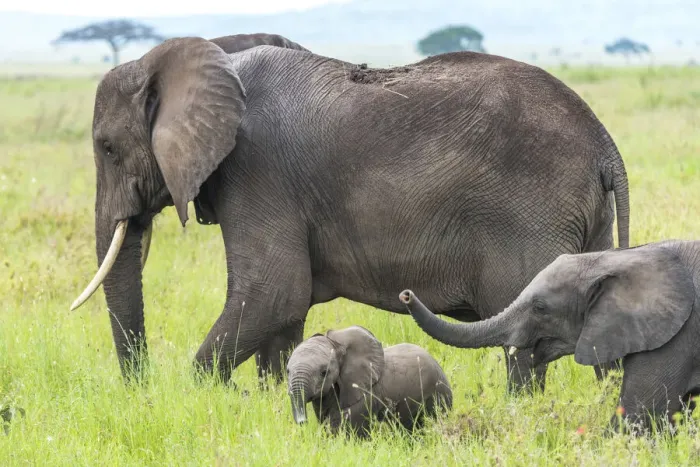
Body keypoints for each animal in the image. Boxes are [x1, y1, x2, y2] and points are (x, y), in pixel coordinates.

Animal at [70, 36, 630, 394]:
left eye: (108, 148)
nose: (141, 390)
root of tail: (606, 145)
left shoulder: (257, 170)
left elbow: (273, 290)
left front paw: (204, 395)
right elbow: (284, 310)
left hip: (533, 213)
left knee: (525, 342)